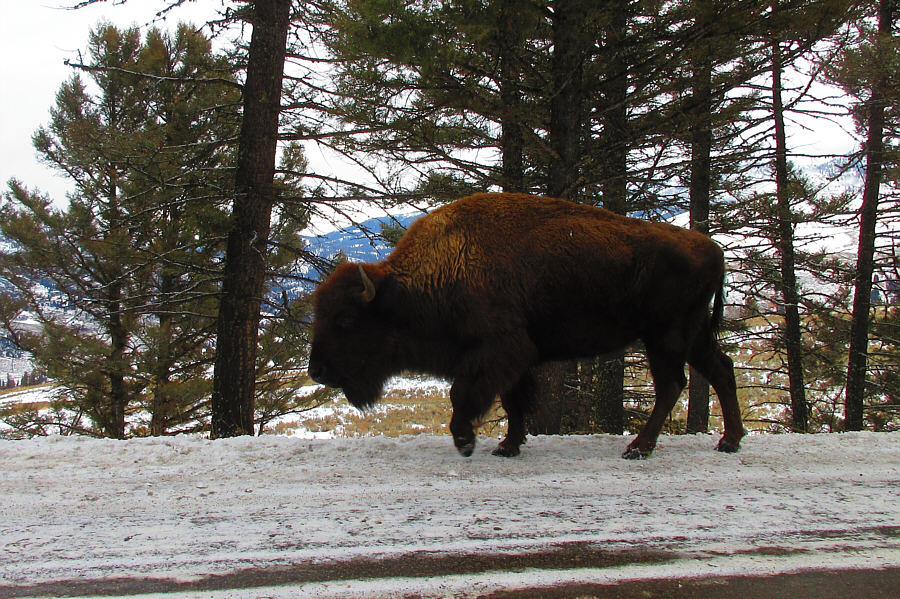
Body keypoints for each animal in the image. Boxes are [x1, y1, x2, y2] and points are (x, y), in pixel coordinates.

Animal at [308, 192, 744, 458]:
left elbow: (463, 395)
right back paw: (730, 441)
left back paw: (639, 448)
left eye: (346, 319)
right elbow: (513, 401)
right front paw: (507, 446)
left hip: (665, 336)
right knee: (721, 370)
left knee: (672, 385)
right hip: (693, 335)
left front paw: (465, 441)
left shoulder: (498, 351)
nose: (317, 371)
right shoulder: (513, 360)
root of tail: (713, 248)